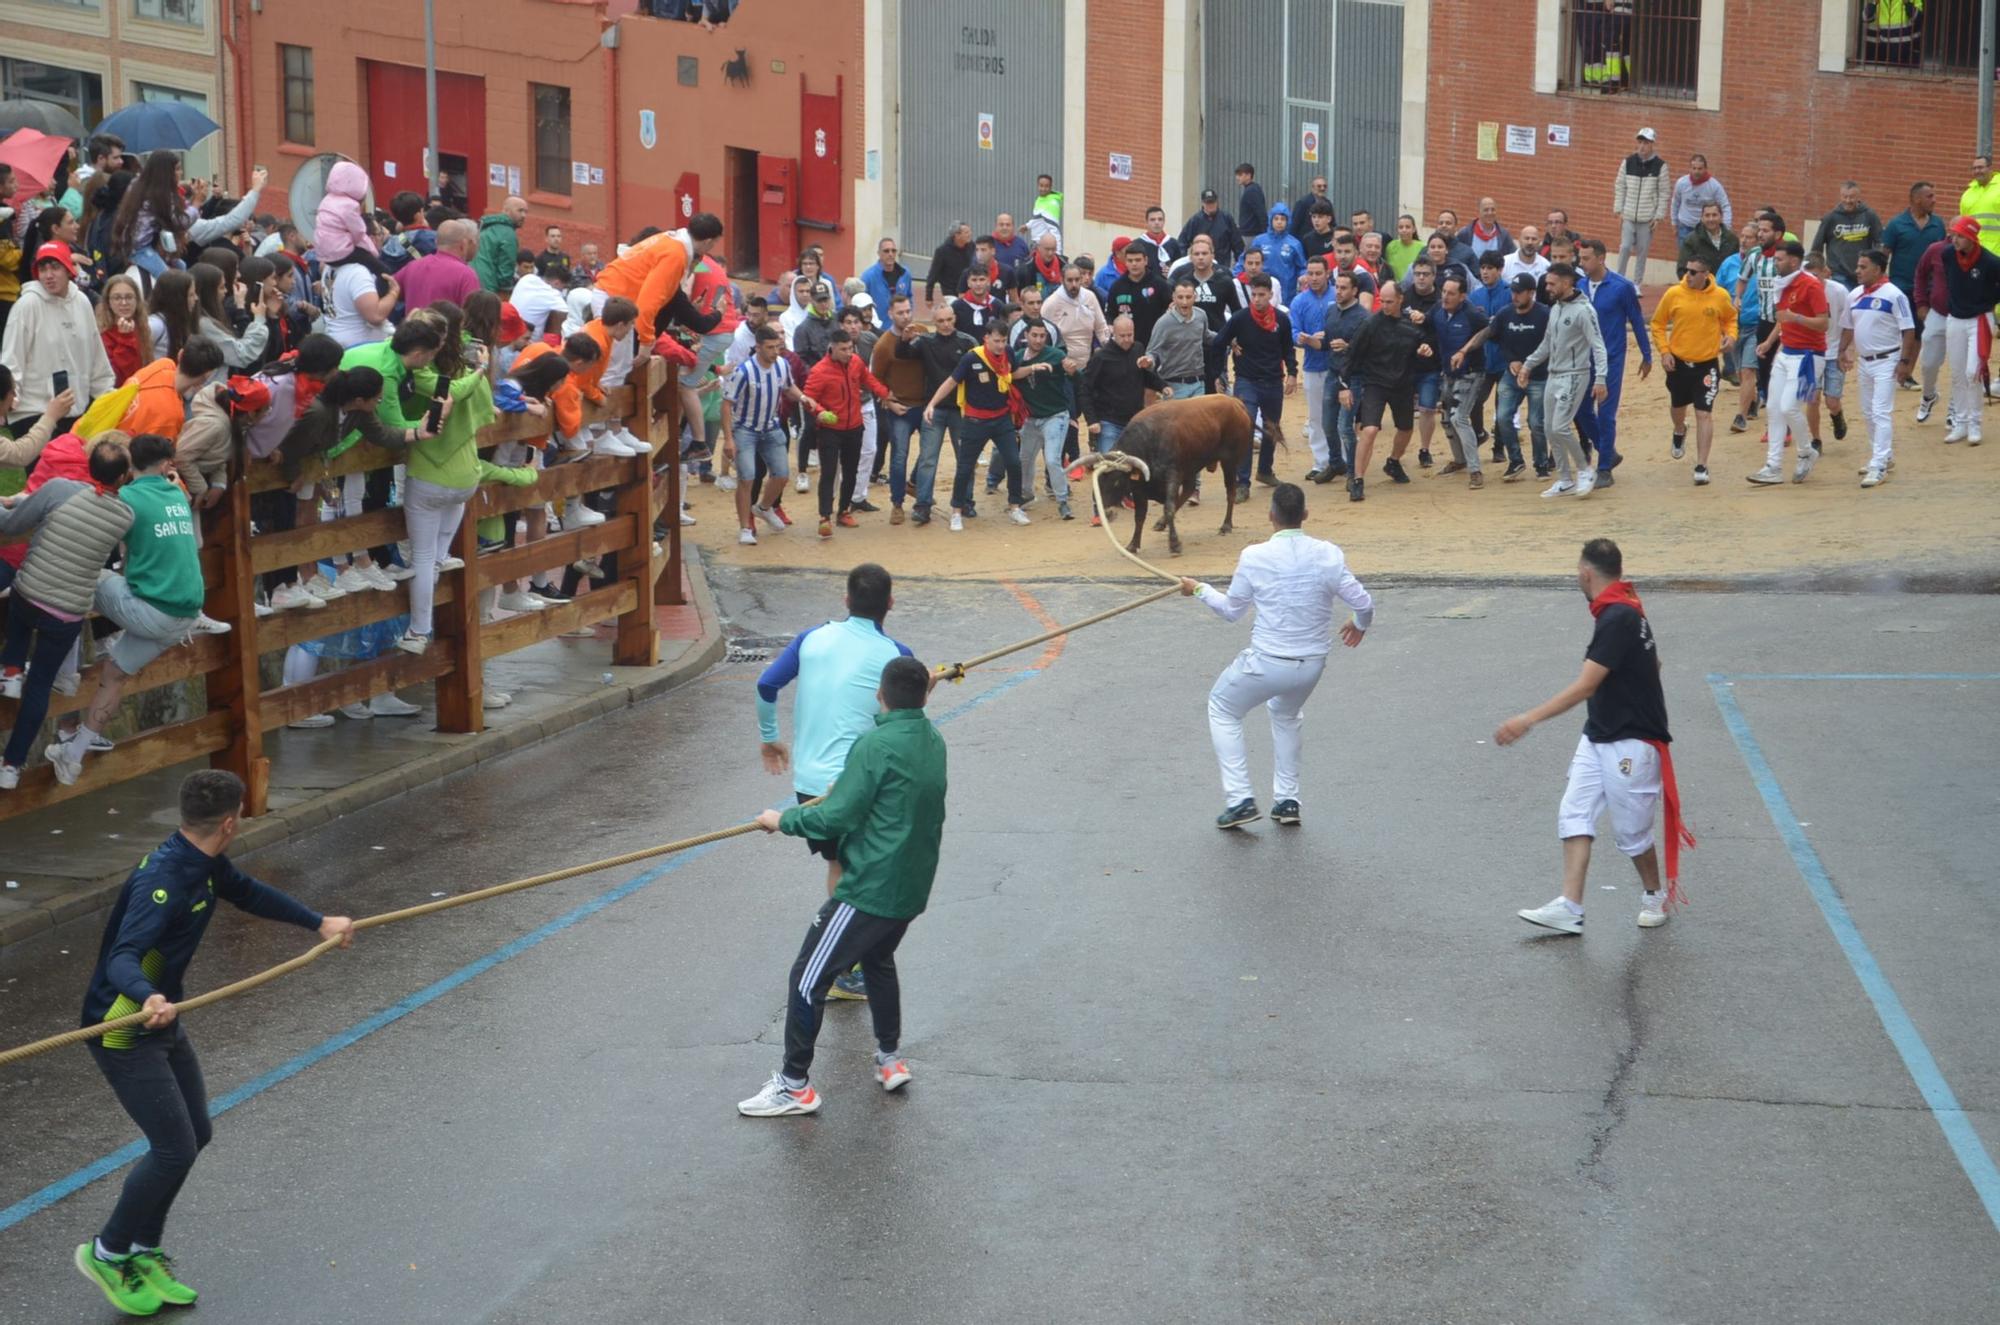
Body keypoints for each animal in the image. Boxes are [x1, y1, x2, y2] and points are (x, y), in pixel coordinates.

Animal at [1072, 394, 1256, 560]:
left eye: (1117, 482)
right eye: (1097, 483)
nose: (1106, 513)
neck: (1148, 441)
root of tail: (1235, 402)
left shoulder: (1172, 476)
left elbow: (1168, 507)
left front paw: (1174, 544)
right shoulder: (1139, 488)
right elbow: (1140, 516)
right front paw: (1133, 545)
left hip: (1229, 462)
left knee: (1230, 491)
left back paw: (1226, 526)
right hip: (1191, 466)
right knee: (1188, 490)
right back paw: (1161, 523)